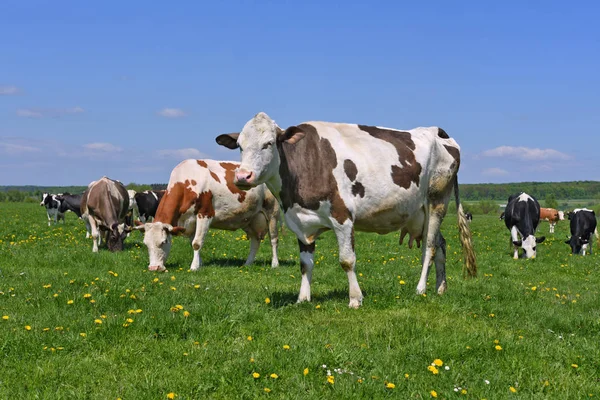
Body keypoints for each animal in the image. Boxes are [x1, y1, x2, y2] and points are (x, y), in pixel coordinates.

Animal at [134, 159, 282, 272]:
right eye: (146, 244)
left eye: (164, 242)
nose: (154, 268)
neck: (187, 181)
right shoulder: (190, 222)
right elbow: (192, 243)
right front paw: (200, 263)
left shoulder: (205, 214)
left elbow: (197, 243)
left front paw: (194, 267)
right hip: (249, 218)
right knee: (255, 241)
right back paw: (248, 263)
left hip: (272, 213)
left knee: (273, 239)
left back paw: (275, 264)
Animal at [216, 111, 478, 308]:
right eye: (239, 146)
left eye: (268, 144)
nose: (242, 176)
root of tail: (437, 131)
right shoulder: (300, 221)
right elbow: (305, 263)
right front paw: (303, 298)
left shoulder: (343, 217)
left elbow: (347, 260)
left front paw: (355, 299)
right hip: (418, 212)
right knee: (441, 244)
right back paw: (440, 288)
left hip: (437, 201)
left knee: (430, 247)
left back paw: (421, 288)